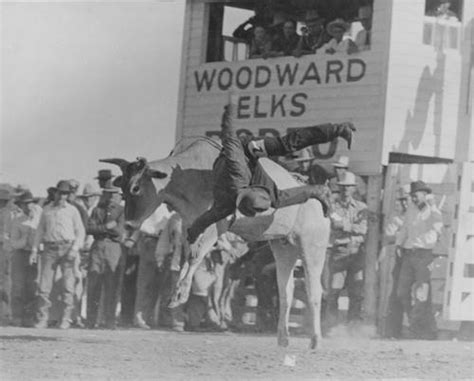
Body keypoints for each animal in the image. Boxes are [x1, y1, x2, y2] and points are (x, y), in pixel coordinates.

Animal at [102, 137, 330, 348]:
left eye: (136, 188)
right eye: (122, 189)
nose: (128, 225)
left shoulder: (216, 225)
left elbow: (195, 257)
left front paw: (180, 293)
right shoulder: (191, 224)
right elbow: (189, 255)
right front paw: (177, 292)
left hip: (312, 246)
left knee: (314, 290)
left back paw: (315, 339)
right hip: (283, 247)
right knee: (285, 291)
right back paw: (283, 337)